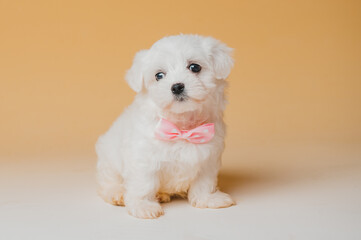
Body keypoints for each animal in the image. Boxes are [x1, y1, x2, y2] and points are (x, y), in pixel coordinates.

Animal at [95, 34, 235, 219]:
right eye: (159, 75)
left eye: (194, 67)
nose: (177, 86)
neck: (182, 127)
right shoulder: (143, 159)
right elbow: (143, 184)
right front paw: (143, 206)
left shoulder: (209, 158)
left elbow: (204, 182)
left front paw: (208, 199)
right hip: (109, 159)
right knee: (107, 182)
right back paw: (117, 193)